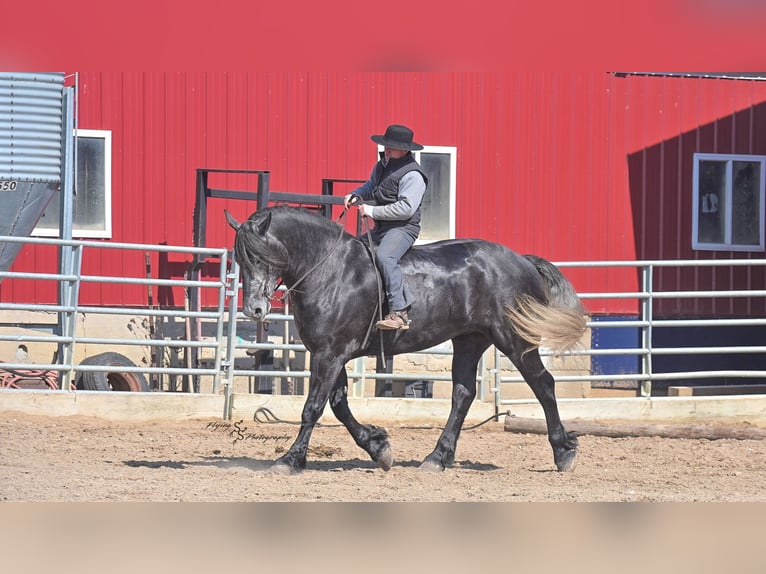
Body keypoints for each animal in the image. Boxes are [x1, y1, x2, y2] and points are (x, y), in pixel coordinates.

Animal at [225, 205, 588, 475]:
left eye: (263, 257)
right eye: (241, 260)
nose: (253, 309)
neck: (331, 270)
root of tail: (521, 260)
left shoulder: (330, 354)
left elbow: (313, 408)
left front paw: (290, 460)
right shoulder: (329, 354)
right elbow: (339, 405)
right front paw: (378, 447)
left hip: (513, 340)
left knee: (543, 384)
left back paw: (563, 453)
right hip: (469, 341)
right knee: (463, 395)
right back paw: (437, 458)